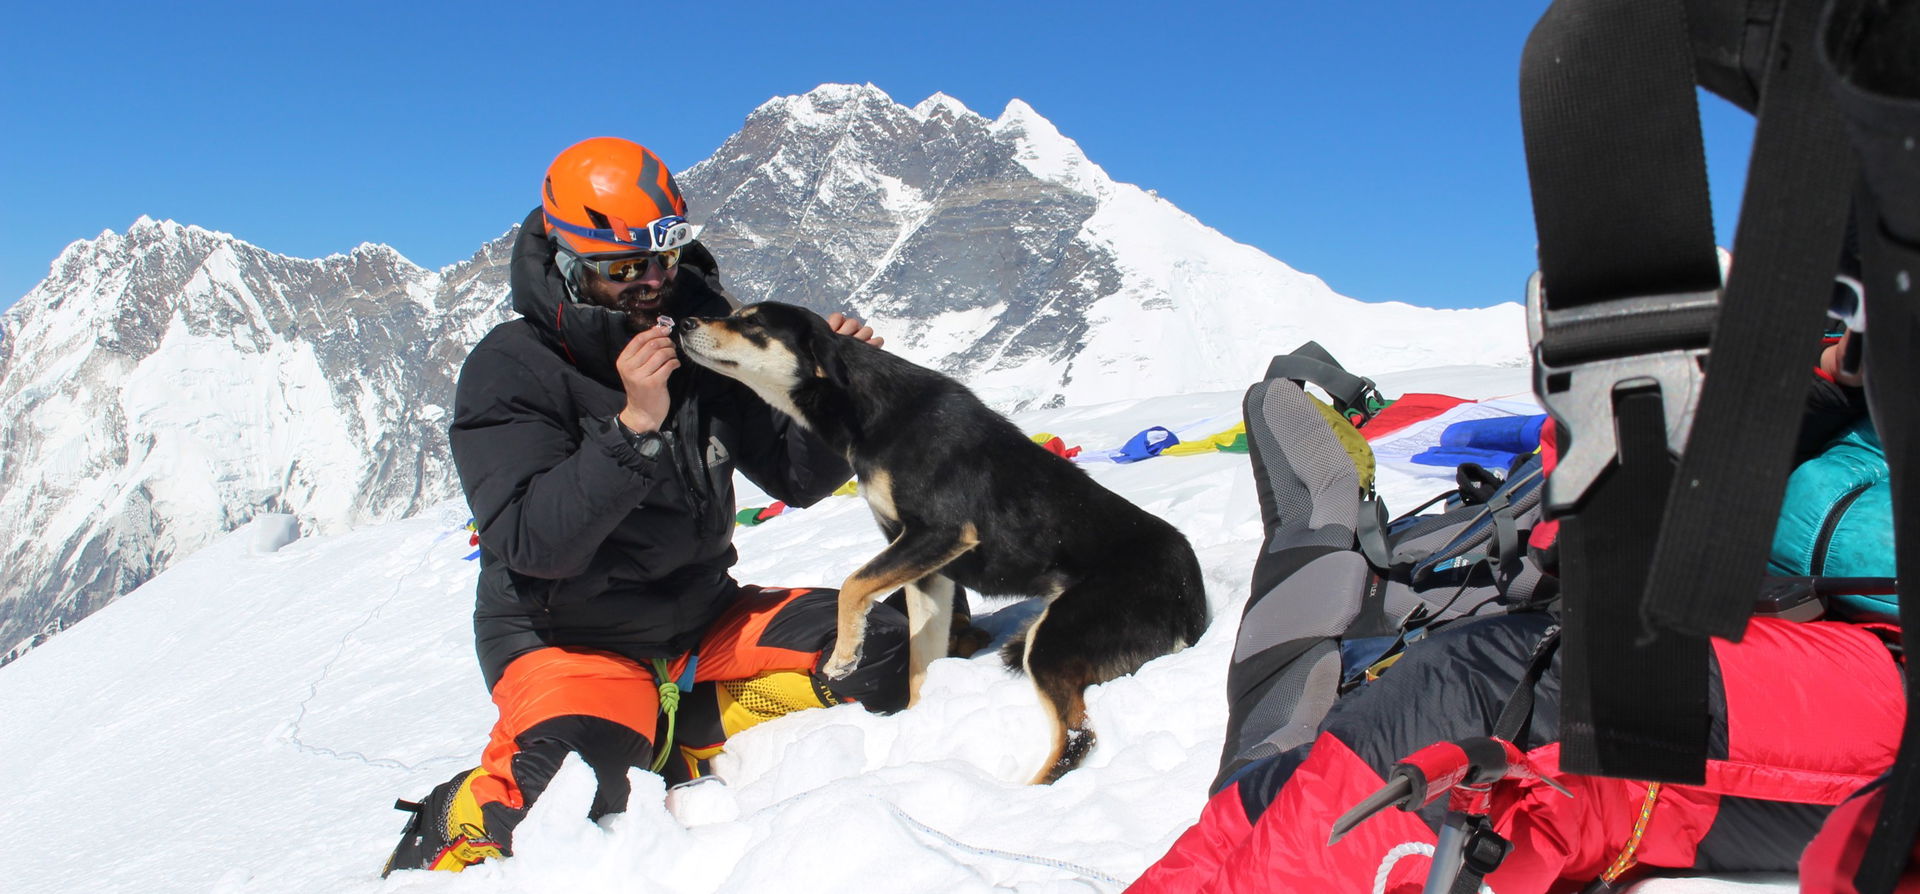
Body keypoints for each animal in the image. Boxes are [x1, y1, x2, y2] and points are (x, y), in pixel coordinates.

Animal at [675, 301, 1205, 782]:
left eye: (751, 322)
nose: (682, 321)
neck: (872, 412)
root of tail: (1192, 597)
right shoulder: (927, 569)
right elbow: (919, 658)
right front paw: (916, 720)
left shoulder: (940, 532)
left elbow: (852, 584)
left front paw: (845, 655)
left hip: (1055, 639)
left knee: (1078, 738)